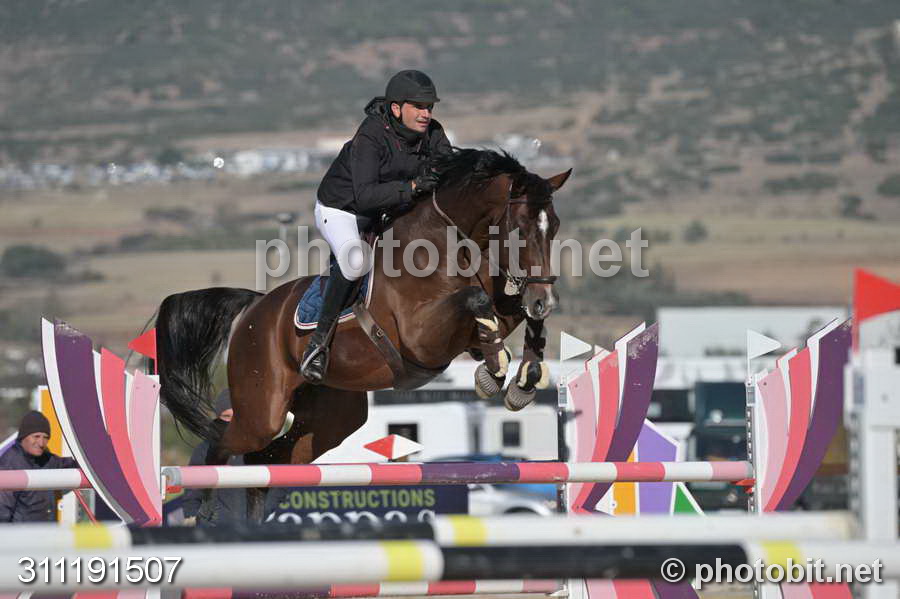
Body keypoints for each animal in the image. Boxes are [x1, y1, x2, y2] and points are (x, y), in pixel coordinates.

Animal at [155, 148, 571, 520]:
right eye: (519, 229)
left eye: (555, 226)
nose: (544, 299)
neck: (451, 245)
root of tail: (253, 308)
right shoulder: (421, 336)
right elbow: (476, 300)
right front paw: (494, 371)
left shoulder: (490, 315)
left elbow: (512, 317)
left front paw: (522, 380)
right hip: (262, 409)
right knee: (225, 442)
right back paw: (205, 512)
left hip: (330, 418)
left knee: (268, 460)